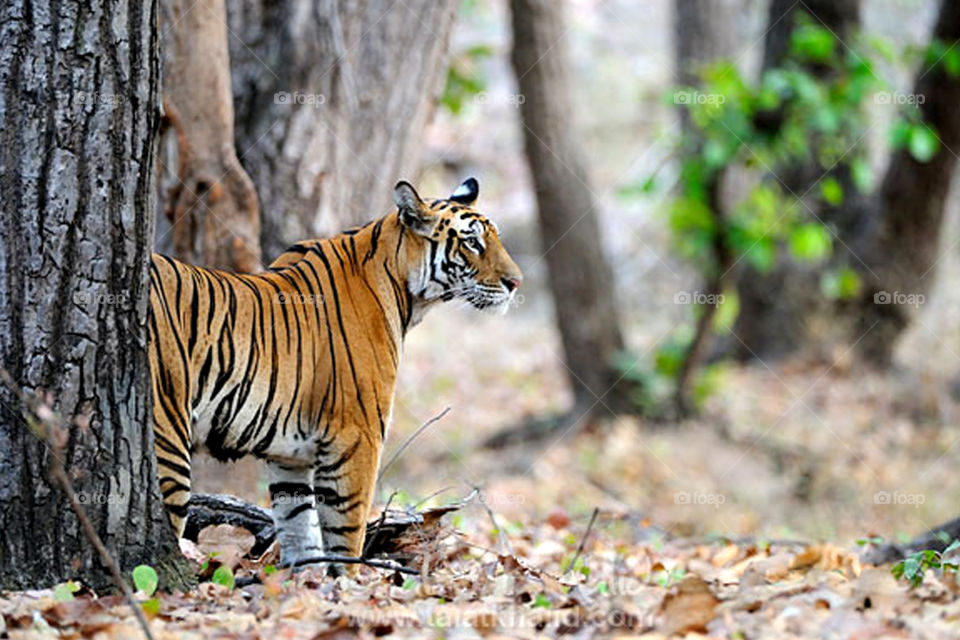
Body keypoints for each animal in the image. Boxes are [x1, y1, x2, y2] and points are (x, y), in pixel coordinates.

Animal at [148, 178, 522, 574]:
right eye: (472, 242)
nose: (516, 282)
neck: (406, 292)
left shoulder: (291, 457)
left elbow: (300, 529)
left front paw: (310, 583)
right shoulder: (358, 435)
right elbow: (347, 531)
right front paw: (350, 581)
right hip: (168, 441)